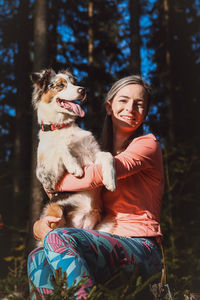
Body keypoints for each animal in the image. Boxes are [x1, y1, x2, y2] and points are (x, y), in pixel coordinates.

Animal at [30, 69, 116, 233]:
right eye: (60, 85)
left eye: (74, 83)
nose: (83, 90)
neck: (62, 126)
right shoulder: (46, 177)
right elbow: (60, 146)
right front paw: (75, 167)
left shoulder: (92, 153)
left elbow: (107, 155)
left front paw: (110, 180)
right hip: (55, 210)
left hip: (108, 224)